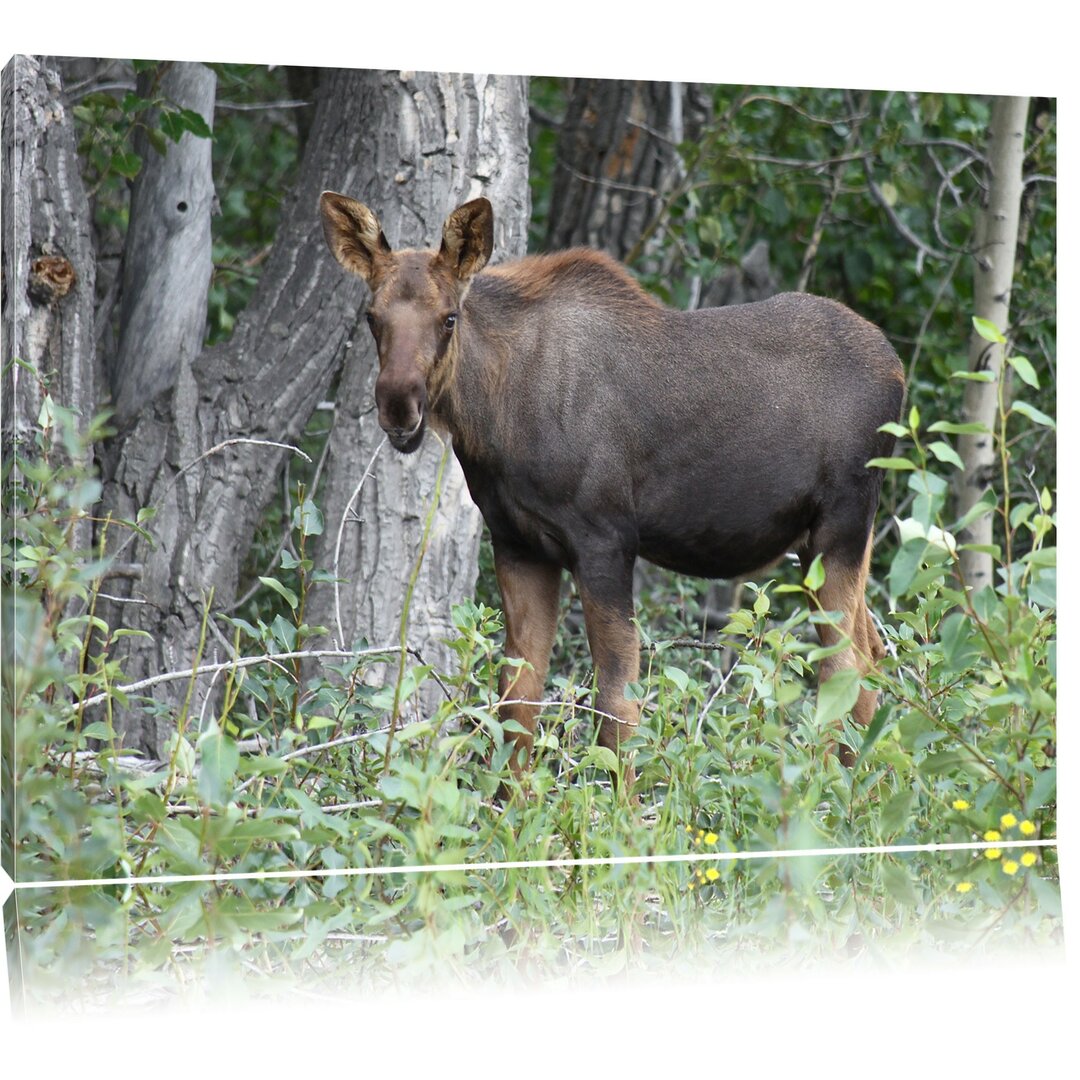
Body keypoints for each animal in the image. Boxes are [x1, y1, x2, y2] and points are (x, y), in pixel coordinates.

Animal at [317, 194, 902, 790]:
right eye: (371, 317)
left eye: (449, 317)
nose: (398, 405)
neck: (493, 421)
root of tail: (898, 369)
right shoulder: (518, 544)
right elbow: (516, 703)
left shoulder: (606, 540)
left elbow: (617, 708)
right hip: (824, 545)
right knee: (873, 657)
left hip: (842, 526)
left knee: (844, 666)